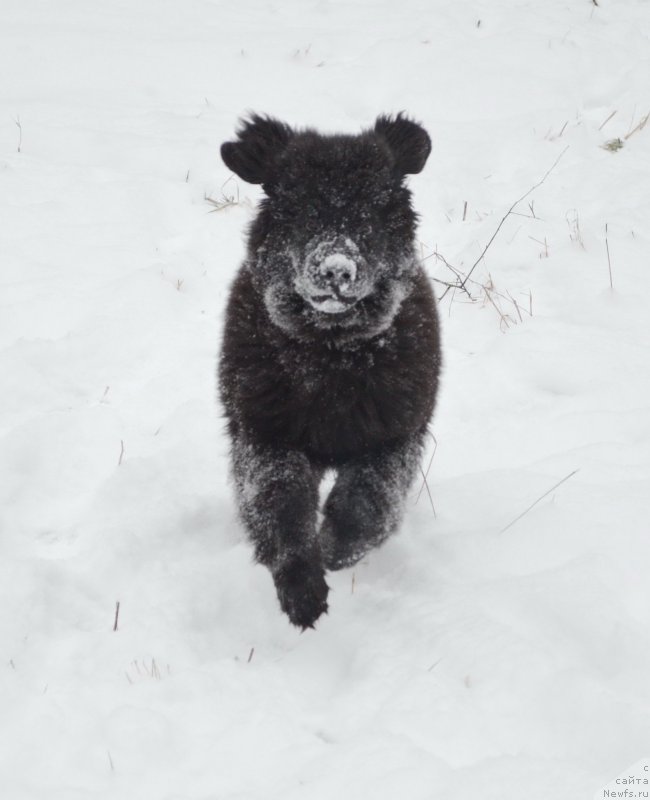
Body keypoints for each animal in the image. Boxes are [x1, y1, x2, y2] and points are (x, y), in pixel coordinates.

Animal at [219, 112, 440, 628]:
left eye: (373, 212)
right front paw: (302, 589)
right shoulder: (264, 435)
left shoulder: (395, 436)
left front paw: (335, 550)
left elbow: (368, 503)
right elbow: (279, 505)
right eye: (299, 210)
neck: (331, 357)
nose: (337, 270)